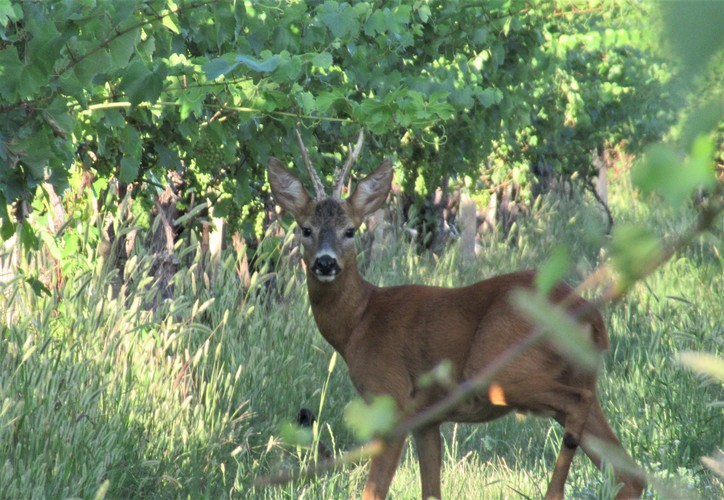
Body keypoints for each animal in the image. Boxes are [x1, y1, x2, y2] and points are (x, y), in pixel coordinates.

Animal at [268, 131, 640, 498]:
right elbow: (431, 490)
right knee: (632, 476)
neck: (360, 321)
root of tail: (590, 318)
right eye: (305, 229)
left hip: (497, 364)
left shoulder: (392, 400)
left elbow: (373, 491)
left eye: (350, 230)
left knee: (578, 406)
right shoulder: (426, 420)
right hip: (577, 374)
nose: (325, 262)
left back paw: (553, 491)